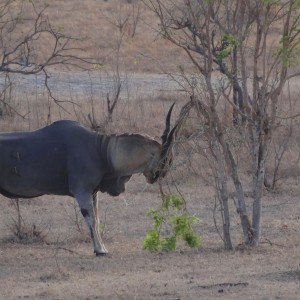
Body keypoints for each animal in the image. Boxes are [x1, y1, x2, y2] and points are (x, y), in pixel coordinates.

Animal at [0, 105, 177, 255]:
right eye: (166, 159)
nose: (160, 175)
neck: (102, 150)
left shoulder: (93, 193)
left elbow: (97, 220)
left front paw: (102, 247)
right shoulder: (82, 191)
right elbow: (91, 219)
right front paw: (100, 250)